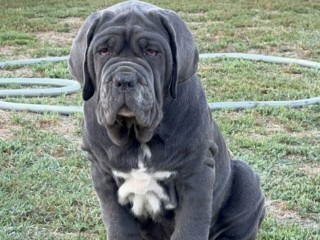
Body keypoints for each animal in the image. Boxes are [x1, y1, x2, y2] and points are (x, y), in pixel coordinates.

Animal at [69, 0, 266, 239]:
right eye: (103, 51)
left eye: (152, 52)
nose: (124, 79)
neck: (136, 134)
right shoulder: (102, 173)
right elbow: (119, 225)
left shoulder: (196, 173)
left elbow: (190, 227)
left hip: (248, 181)